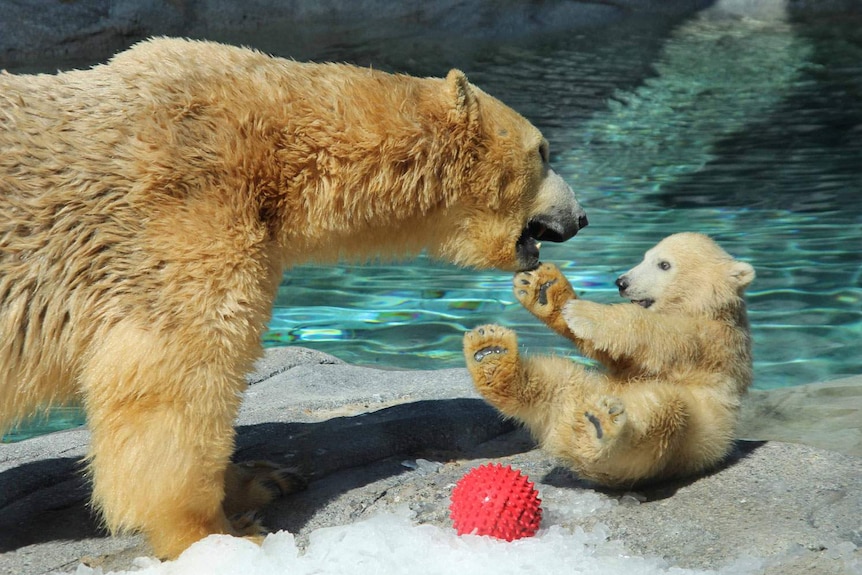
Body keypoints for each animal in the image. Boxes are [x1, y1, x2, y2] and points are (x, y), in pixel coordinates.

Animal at [0, 39, 588, 560]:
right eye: (543, 151)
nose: (580, 217)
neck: (273, 141)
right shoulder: (184, 217)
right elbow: (175, 377)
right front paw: (219, 535)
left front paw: (259, 478)